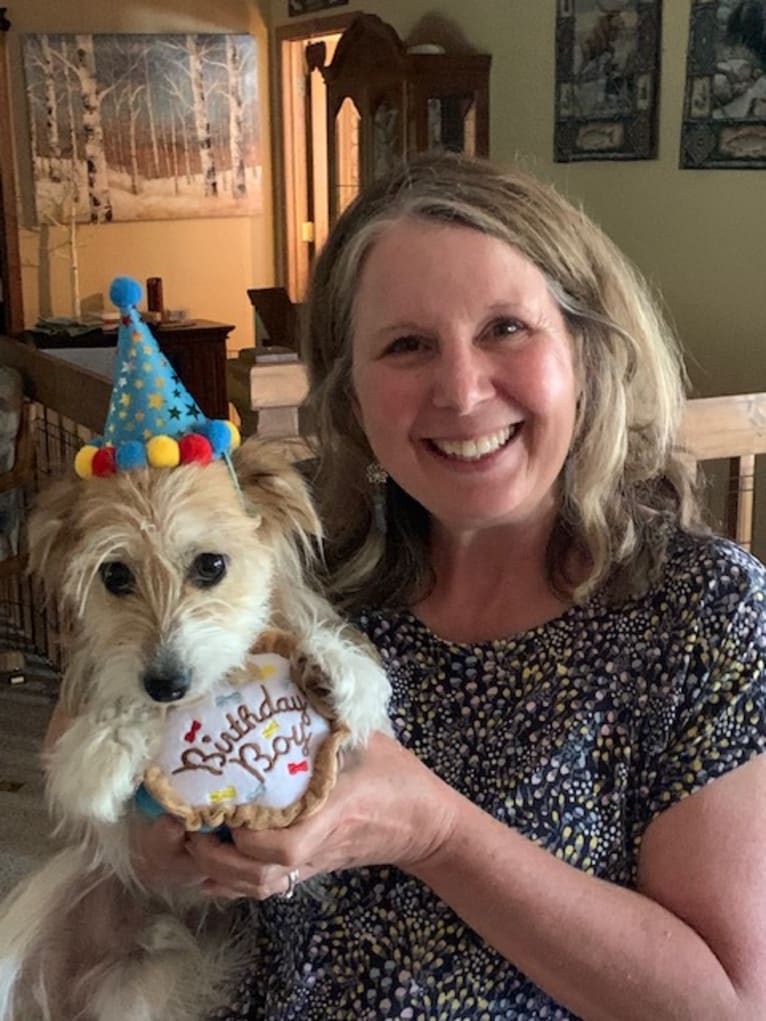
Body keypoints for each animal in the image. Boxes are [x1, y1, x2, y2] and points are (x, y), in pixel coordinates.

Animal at [0, 441, 392, 1021]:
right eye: (114, 575)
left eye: (211, 565)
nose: (165, 684)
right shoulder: (101, 812)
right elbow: (93, 764)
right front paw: (109, 744)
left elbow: (364, 692)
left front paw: (335, 665)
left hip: (147, 988)